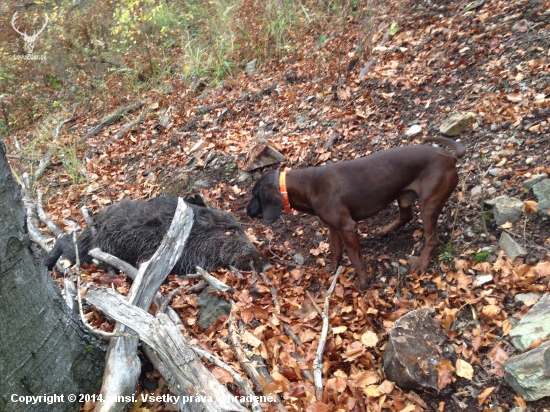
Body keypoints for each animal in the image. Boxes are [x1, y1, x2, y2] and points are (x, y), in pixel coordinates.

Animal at [248, 137, 468, 288]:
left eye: (254, 195)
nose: (246, 211)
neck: (306, 186)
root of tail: (449, 157)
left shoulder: (347, 227)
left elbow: (356, 259)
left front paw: (363, 283)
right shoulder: (333, 227)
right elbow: (335, 251)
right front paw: (331, 269)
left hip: (428, 204)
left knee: (432, 238)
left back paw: (421, 264)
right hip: (405, 197)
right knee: (406, 216)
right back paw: (385, 230)